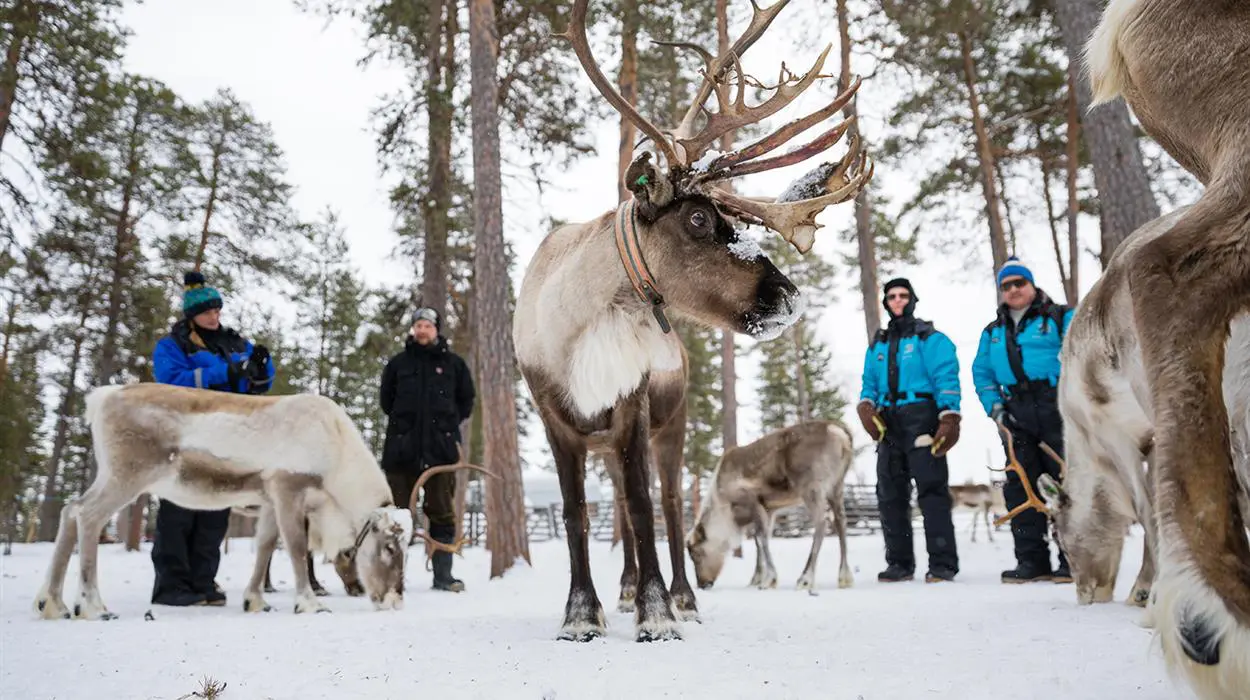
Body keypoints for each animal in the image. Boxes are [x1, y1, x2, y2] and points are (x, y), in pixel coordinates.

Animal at [32, 383, 478, 620]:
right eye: (388, 547)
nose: (393, 601)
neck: (335, 455)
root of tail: (101, 398)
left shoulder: (265, 499)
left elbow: (264, 547)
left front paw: (255, 601)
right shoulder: (286, 487)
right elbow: (295, 548)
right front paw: (308, 603)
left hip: (110, 474)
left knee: (70, 510)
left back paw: (51, 603)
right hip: (129, 475)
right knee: (88, 517)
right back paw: (91, 605)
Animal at [686, 420, 855, 594]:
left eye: (696, 554)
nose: (702, 584)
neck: (725, 508)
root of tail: (840, 433)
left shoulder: (753, 501)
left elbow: (761, 538)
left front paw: (769, 580)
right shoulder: (770, 509)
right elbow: (760, 539)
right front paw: (756, 578)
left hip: (811, 487)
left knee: (822, 522)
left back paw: (805, 579)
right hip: (836, 487)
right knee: (841, 521)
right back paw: (844, 577)